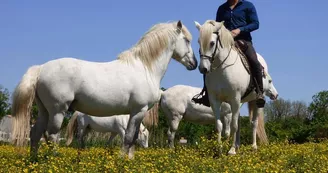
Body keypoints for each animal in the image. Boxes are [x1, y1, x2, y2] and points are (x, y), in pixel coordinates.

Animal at [12, 19, 197, 159]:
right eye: (187, 40)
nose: (194, 64)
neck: (145, 68)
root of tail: (41, 68)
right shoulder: (139, 110)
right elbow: (128, 138)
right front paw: (122, 160)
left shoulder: (136, 113)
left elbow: (133, 139)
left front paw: (130, 160)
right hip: (58, 111)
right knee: (52, 135)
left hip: (44, 110)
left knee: (36, 133)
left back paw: (35, 160)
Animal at [196, 19, 278, 155]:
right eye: (198, 42)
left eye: (212, 43)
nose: (203, 68)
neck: (222, 68)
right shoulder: (215, 101)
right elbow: (219, 125)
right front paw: (220, 150)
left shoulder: (234, 99)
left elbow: (234, 125)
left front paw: (232, 150)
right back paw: (238, 145)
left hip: (256, 101)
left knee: (254, 123)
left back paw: (253, 147)